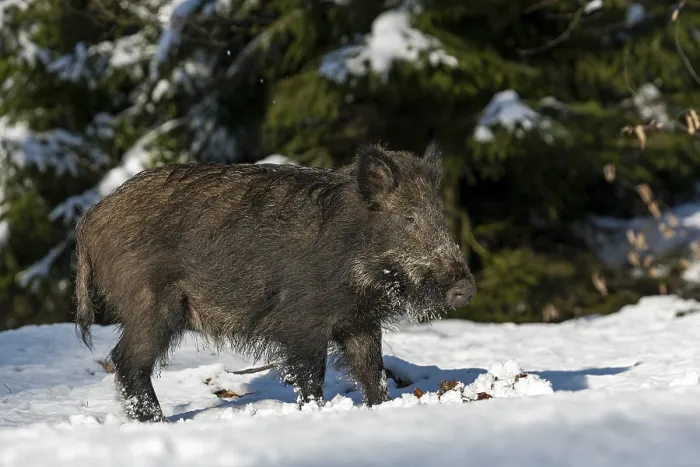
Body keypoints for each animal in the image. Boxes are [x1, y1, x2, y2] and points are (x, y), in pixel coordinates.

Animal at [74, 142, 476, 422]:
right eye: (410, 219)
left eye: (440, 217)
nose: (466, 289)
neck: (356, 256)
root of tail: (90, 220)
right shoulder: (302, 321)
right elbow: (311, 375)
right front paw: (314, 413)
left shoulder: (359, 321)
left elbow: (371, 371)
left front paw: (382, 408)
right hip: (151, 304)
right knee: (127, 361)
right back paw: (158, 422)